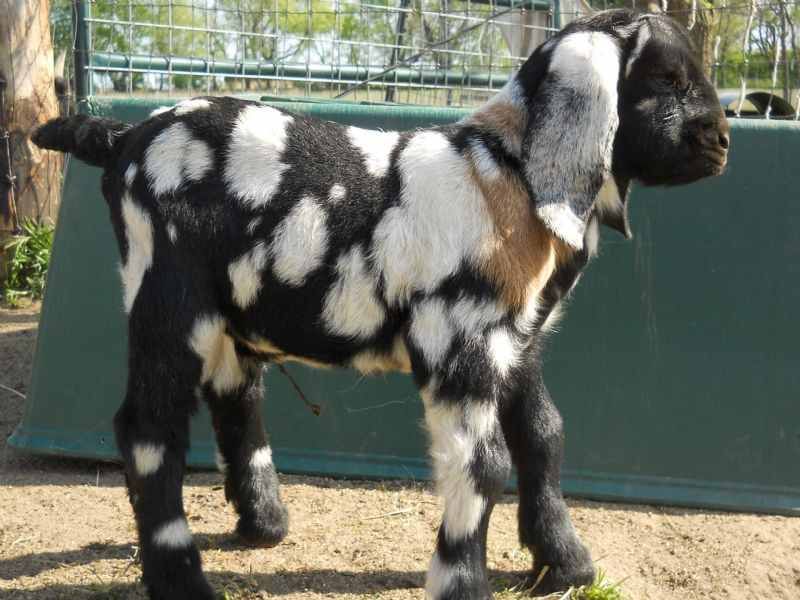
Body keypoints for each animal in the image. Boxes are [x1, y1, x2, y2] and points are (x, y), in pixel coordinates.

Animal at [32, 9, 732, 600]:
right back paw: (183, 580)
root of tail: (124, 136)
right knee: (148, 428)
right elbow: (482, 464)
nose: (723, 140)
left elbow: (544, 434)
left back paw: (264, 523)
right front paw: (463, 584)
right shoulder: (461, 344)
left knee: (235, 393)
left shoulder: (518, 339)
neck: (507, 172)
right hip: (166, 295)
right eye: (667, 81)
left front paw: (565, 565)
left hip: (227, 309)